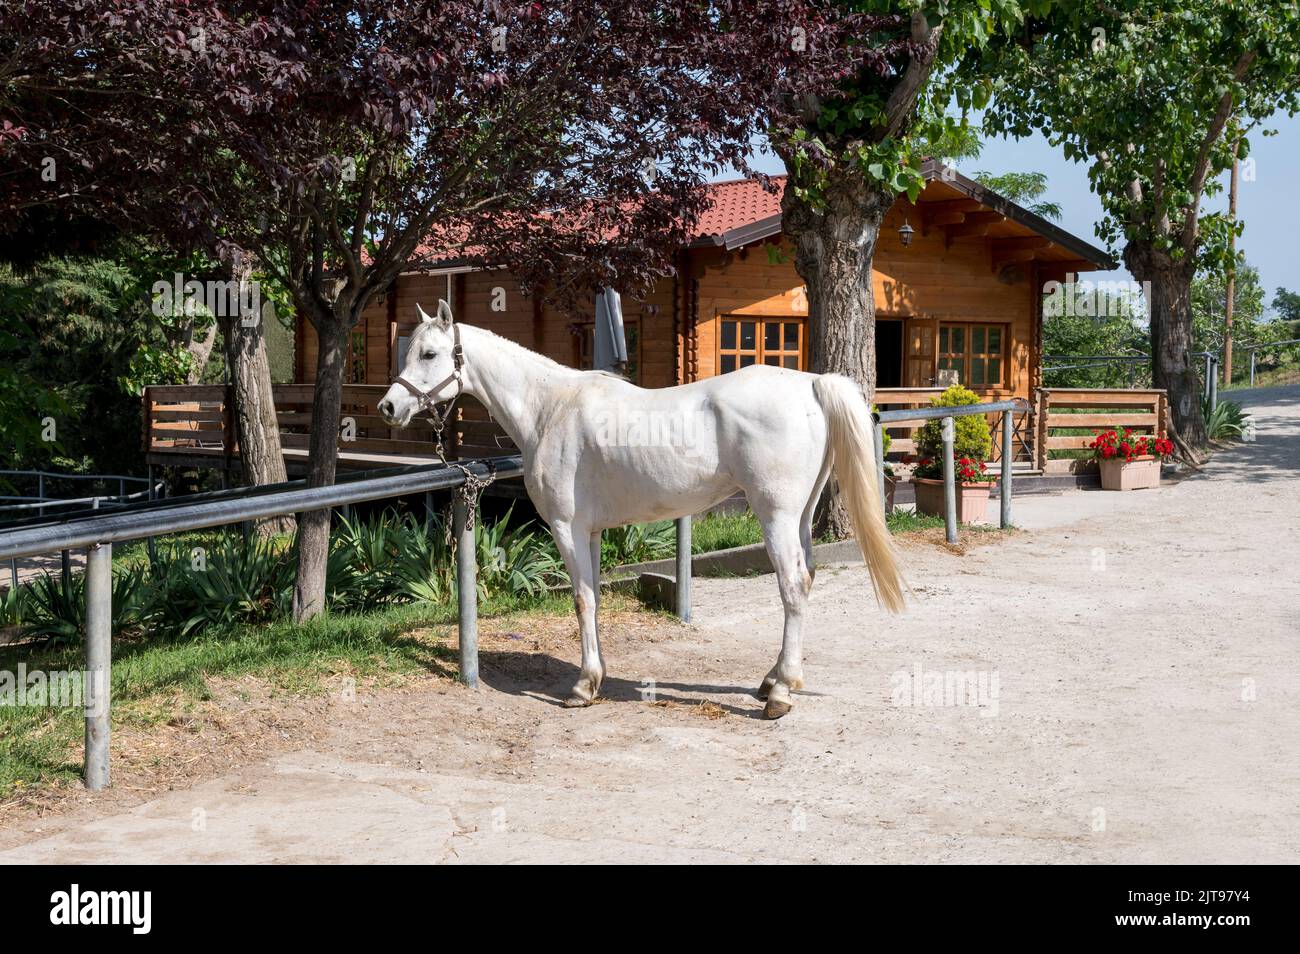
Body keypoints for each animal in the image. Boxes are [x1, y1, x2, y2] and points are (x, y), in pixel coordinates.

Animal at [379, 302, 904, 722]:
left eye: (429, 354)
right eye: (408, 352)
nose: (388, 407)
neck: (550, 408)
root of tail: (811, 384)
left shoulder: (567, 528)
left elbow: (582, 600)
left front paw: (583, 686)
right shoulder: (591, 532)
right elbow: (593, 598)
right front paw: (596, 677)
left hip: (775, 515)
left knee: (793, 587)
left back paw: (779, 697)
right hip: (801, 514)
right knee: (808, 578)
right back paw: (775, 680)